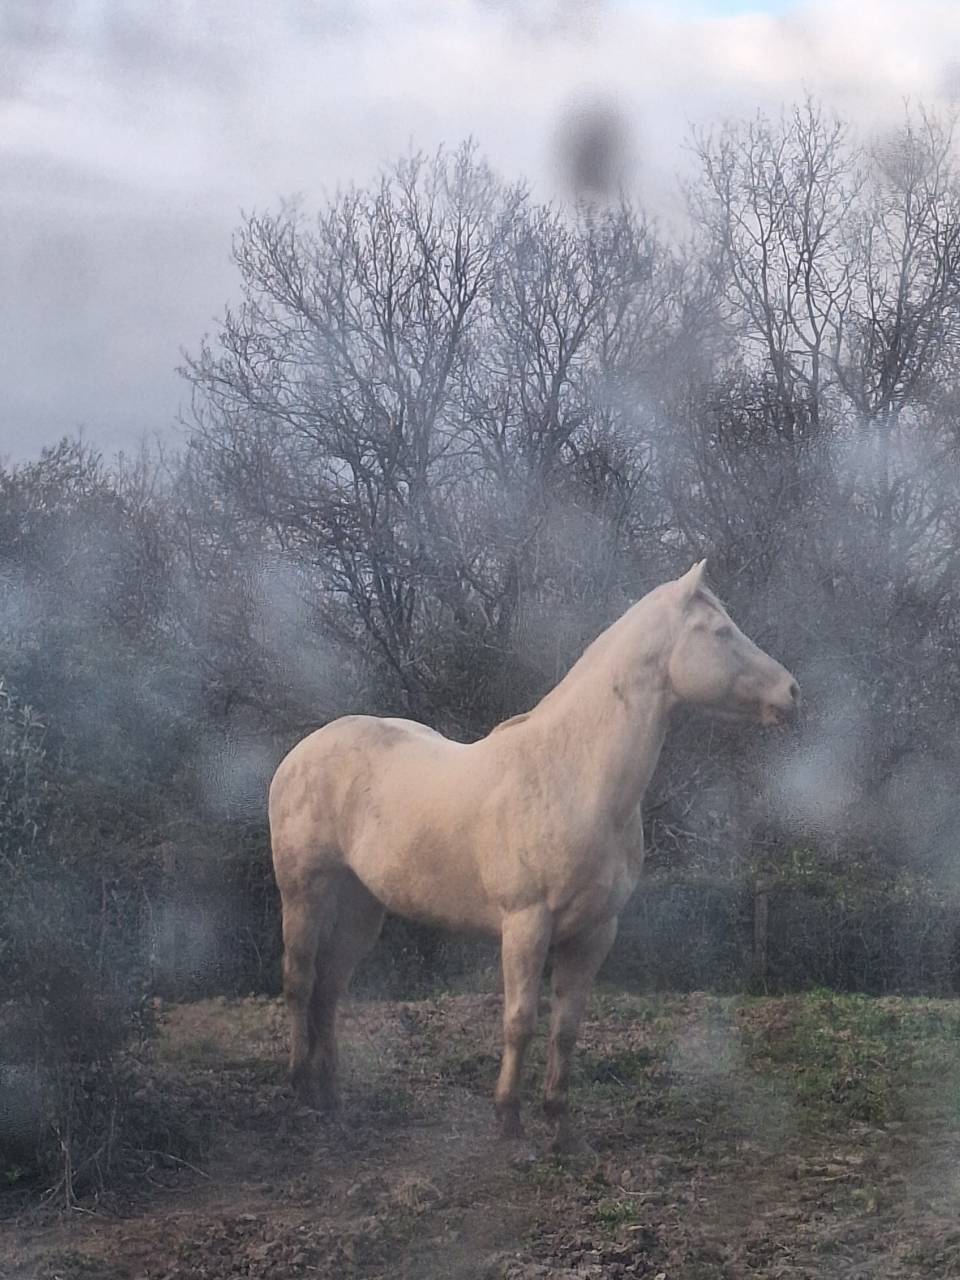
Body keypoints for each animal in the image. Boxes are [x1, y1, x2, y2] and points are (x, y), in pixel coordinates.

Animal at [268, 561, 798, 1151]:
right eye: (722, 632)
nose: (792, 692)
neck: (576, 777)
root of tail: (302, 752)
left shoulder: (594, 932)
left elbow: (567, 1026)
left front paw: (560, 1124)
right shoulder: (526, 923)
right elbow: (520, 1019)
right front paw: (508, 1119)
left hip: (363, 906)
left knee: (330, 989)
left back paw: (331, 1095)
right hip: (304, 892)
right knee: (301, 979)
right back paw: (301, 1088)